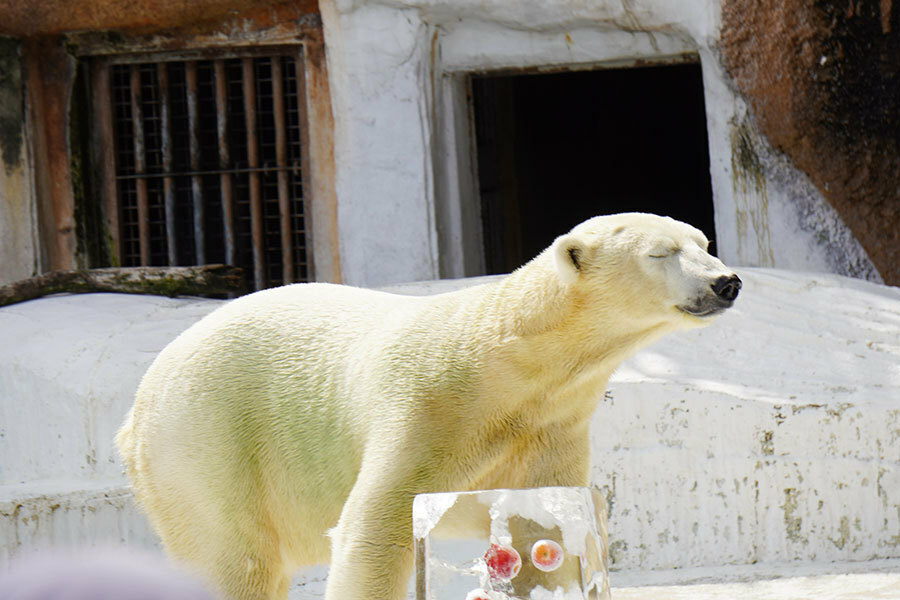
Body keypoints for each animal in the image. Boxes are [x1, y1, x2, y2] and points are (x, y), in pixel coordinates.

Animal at [116, 213, 740, 596]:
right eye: (661, 252)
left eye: (704, 243)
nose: (727, 282)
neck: (511, 365)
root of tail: (134, 413)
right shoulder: (428, 408)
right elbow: (375, 527)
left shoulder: (550, 428)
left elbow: (544, 530)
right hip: (208, 440)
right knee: (234, 559)